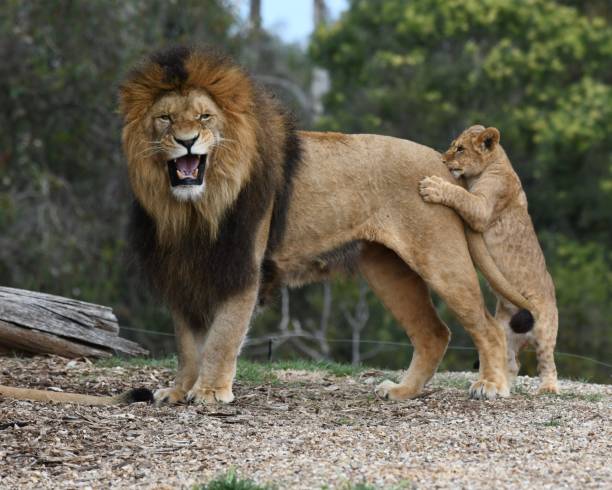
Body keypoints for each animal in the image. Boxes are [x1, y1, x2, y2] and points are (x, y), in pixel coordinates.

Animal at [119, 46, 524, 404]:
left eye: (204, 117)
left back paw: (491, 385)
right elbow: (187, 344)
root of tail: (444, 165)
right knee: (433, 333)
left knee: (488, 327)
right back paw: (403, 391)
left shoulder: (241, 268)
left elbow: (222, 336)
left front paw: (209, 392)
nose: (186, 142)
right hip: (387, 269)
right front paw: (178, 391)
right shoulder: (181, 271)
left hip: (441, 260)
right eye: (166, 118)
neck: (193, 208)